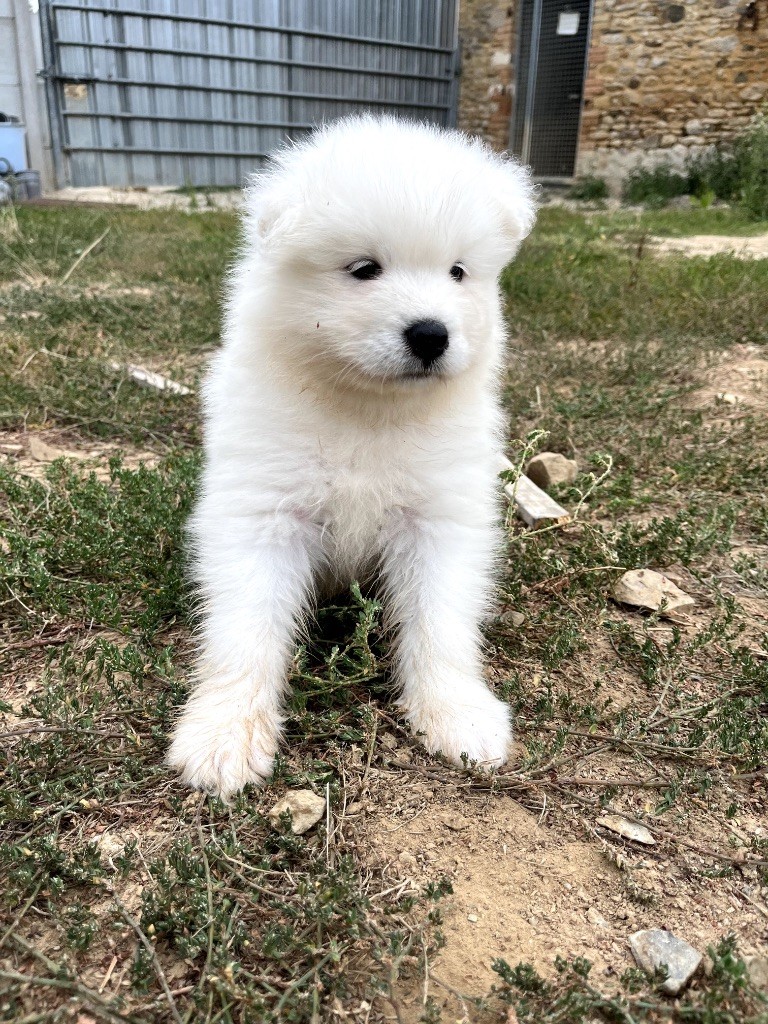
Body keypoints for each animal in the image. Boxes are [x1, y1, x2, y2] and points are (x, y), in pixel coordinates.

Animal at [167, 115, 536, 797]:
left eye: (458, 272)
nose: (431, 334)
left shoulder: (437, 519)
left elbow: (441, 623)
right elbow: (246, 628)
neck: (369, 412)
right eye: (364, 269)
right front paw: (224, 732)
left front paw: (457, 713)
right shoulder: (263, 517)